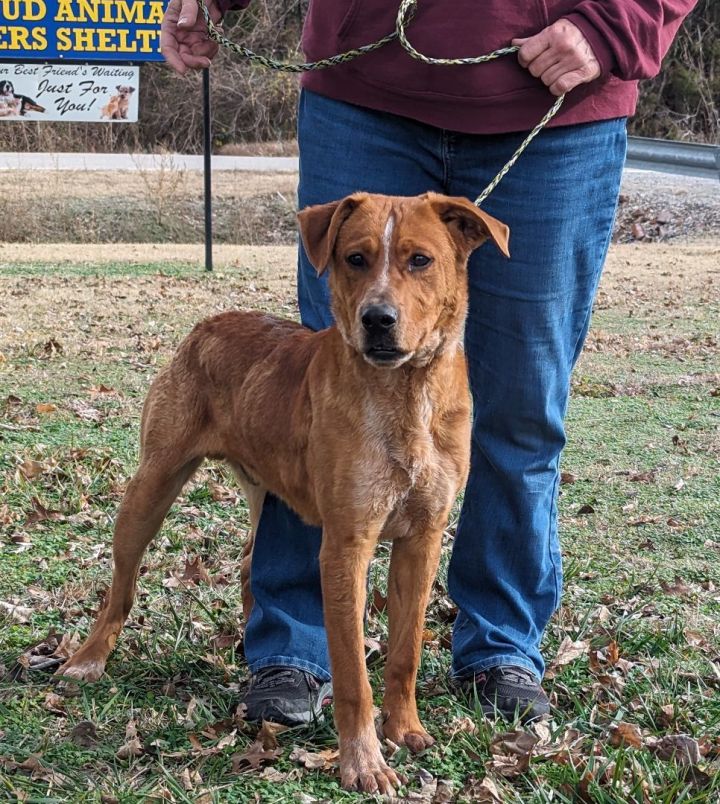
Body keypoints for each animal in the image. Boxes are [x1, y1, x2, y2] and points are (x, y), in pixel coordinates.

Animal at [60, 192, 512, 796]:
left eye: (420, 260)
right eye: (354, 258)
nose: (378, 320)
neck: (406, 395)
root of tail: (211, 322)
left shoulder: (423, 538)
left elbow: (406, 652)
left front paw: (405, 728)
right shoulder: (345, 547)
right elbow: (352, 675)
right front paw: (362, 761)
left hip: (261, 490)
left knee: (250, 566)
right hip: (150, 488)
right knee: (122, 586)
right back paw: (89, 658)